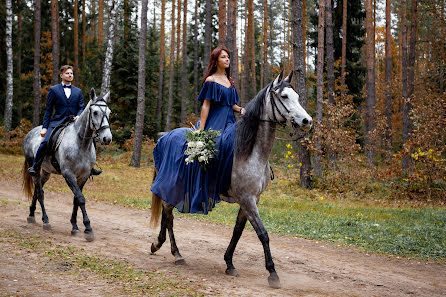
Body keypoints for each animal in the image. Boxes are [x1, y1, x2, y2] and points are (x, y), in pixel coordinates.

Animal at [21, 88, 112, 240]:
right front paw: (88, 228)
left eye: (109, 112)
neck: (81, 144)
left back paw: (31, 215)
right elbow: (80, 198)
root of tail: (31, 132)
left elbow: (76, 199)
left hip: (46, 172)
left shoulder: (83, 176)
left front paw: (75, 225)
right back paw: (45, 221)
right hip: (35, 168)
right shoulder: (69, 174)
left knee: (37, 190)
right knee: (40, 192)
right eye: (95, 112)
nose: (107, 138)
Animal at [150, 71, 310, 286]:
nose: (307, 121)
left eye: (298, 97)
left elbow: (238, 231)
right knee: (168, 215)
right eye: (284, 96)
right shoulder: (247, 199)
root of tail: (164, 136)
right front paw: (272, 273)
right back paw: (175, 253)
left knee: (167, 215)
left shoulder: (251, 199)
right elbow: (263, 234)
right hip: (174, 185)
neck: (251, 152)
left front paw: (229, 263)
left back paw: (160, 246)